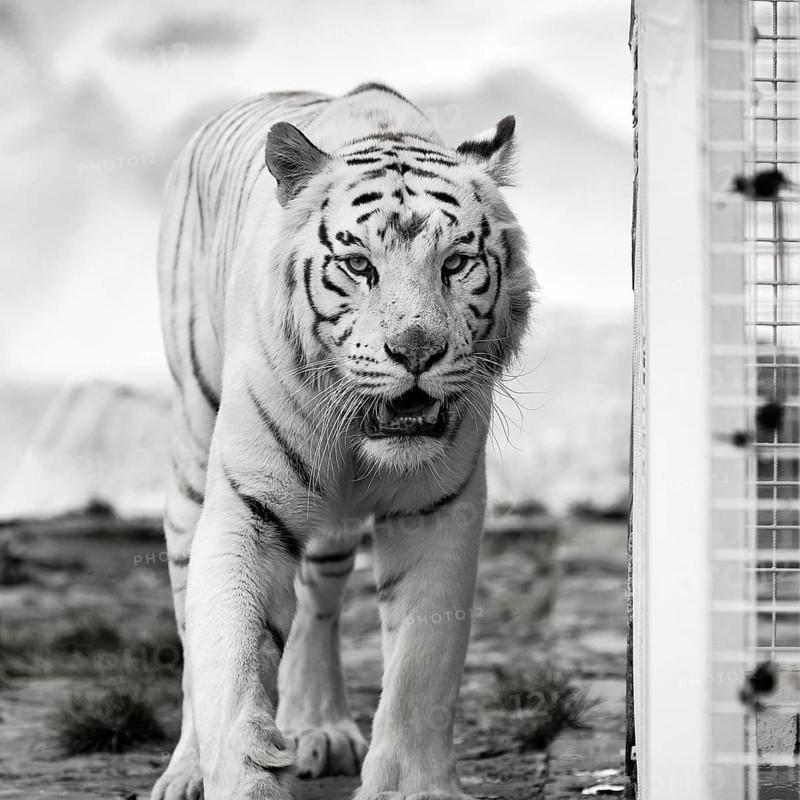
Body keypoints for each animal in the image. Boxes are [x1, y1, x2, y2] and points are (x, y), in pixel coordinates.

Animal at [152, 82, 533, 800]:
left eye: (456, 263)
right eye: (359, 265)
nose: (416, 350)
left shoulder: (438, 511)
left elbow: (421, 670)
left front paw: (413, 788)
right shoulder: (248, 506)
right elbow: (229, 659)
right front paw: (241, 776)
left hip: (328, 534)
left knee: (315, 605)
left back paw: (319, 728)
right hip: (190, 454)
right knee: (192, 630)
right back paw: (185, 770)